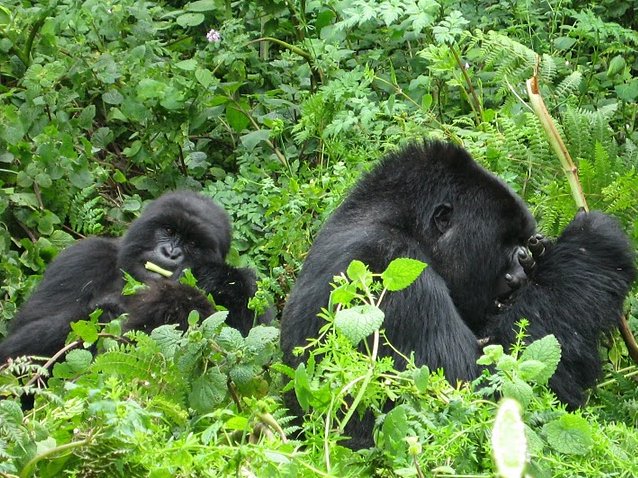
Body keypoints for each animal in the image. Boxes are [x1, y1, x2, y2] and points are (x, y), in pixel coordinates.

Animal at [0, 190, 270, 362]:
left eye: (193, 244)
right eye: (168, 230)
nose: (171, 253)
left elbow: (255, 355)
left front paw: (222, 281)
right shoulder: (82, 258)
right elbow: (19, 341)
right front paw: (108, 309)